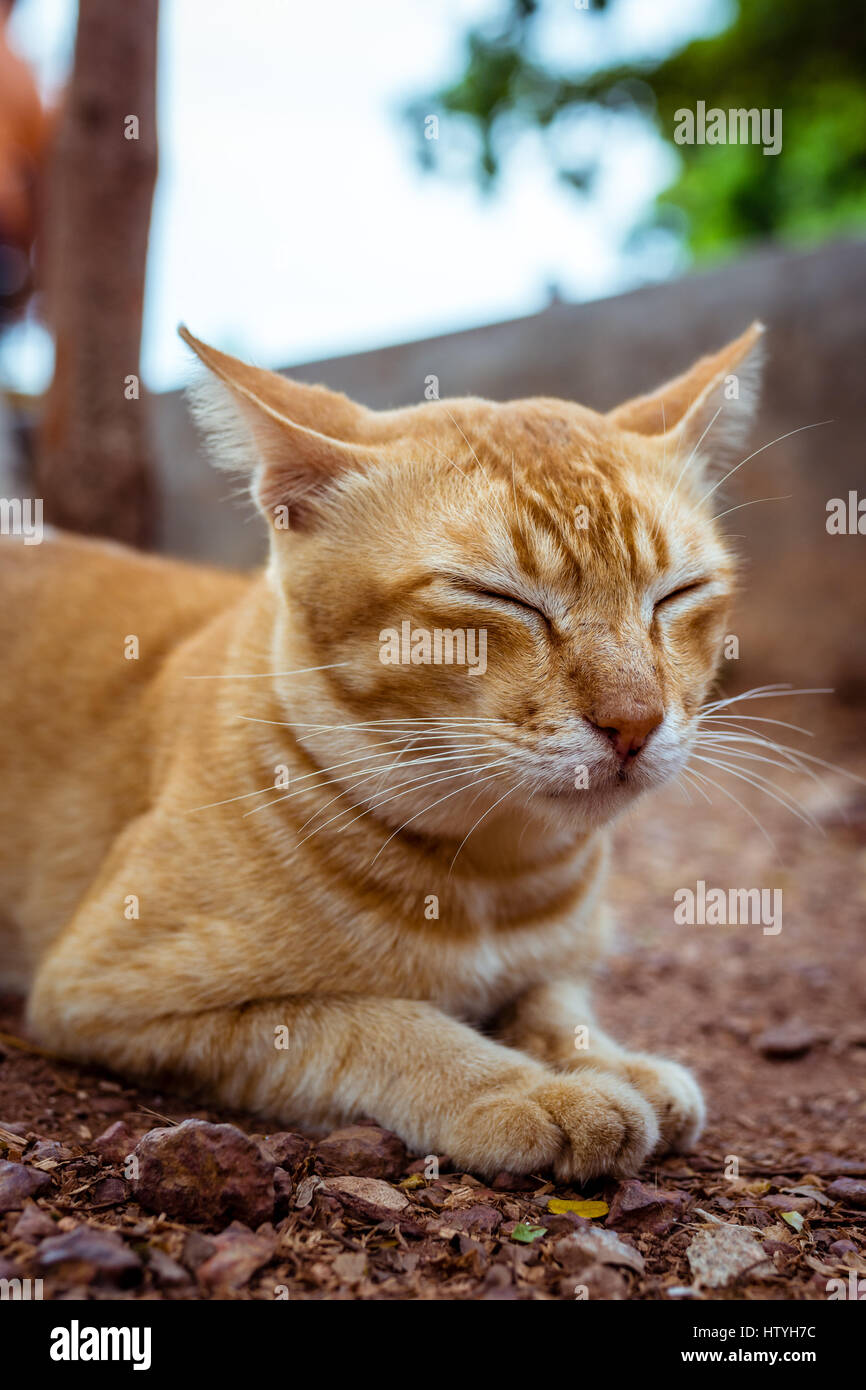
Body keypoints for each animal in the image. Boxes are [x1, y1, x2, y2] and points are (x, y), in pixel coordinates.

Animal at [0, 322, 761, 1173]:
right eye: (496, 597)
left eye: (679, 593)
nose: (635, 721)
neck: (495, 877)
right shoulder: (105, 993)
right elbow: (375, 1022)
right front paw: (528, 1090)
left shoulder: (557, 965)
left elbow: (554, 1000)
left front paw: (611, 1060)